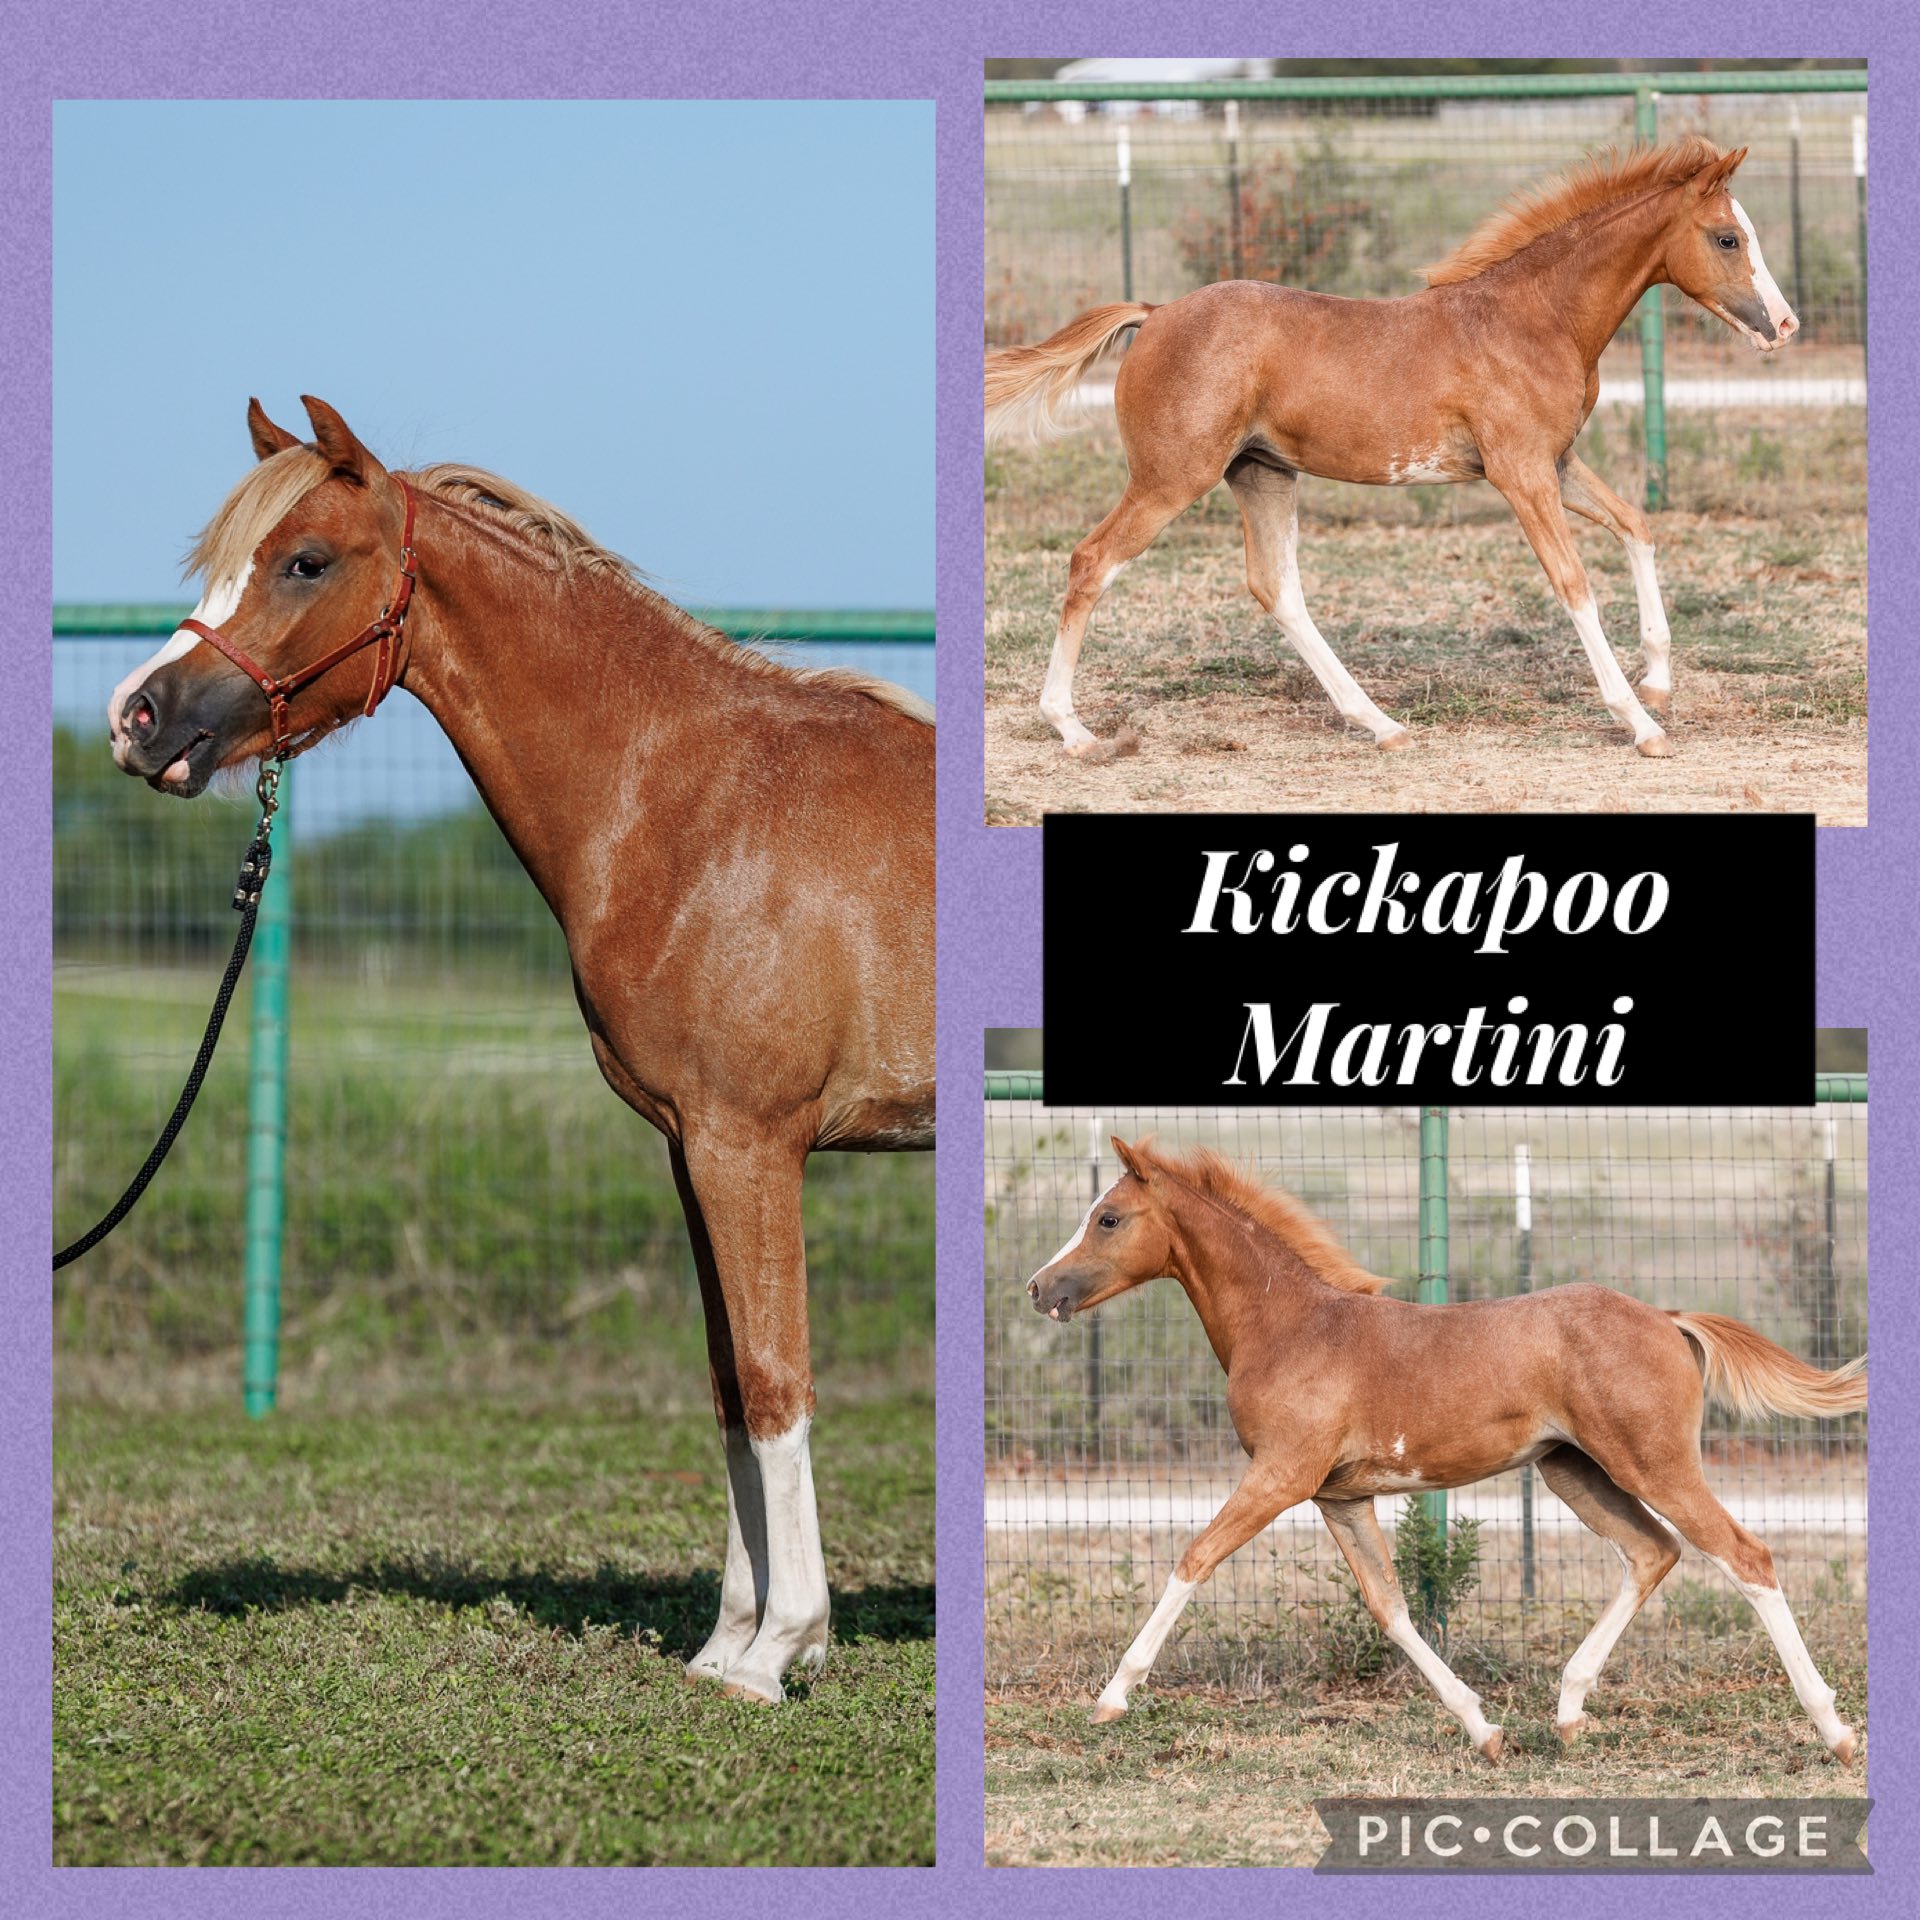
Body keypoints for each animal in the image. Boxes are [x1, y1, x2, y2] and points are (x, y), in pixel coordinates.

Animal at [105, 396, 935, 1705]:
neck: (700, 807)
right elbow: (725, 1385)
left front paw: (779, 1651)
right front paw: (724, 1642)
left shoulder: (751, 1147)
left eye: (305, 561)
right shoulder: (692, 1151)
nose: (136, 717)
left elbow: (774, 1377)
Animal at [985, 138, 1800, 764]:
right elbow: (1574, 585)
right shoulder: (1521, 474)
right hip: (1171, 478)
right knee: (1092, 560)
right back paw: (1074, 731)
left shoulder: (1556, 464)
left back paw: (1381, 724)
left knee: (1276, 589)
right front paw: (1641, 723)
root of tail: (1153, 316)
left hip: (1262, 473)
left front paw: (1658, 680)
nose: (1785, 325)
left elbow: (1637, 525)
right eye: (1727, 238)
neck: (1533, 319)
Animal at [1026, 1136, 1863, 1764]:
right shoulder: (1342, 1495)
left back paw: (1834, 1730)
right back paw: (1567, 1712)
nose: (1039, 1288)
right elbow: (1390, 1607)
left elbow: (1194, 1558)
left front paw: (1111, 1698)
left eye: (1108, 1218)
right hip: (1574, 1471)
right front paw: (1483, 1728)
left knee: (1744, 1556)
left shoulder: (1281, 1476)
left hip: (1651, 1463)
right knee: (1653, 1552)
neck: (1291, 1326)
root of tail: (1667, 1316)